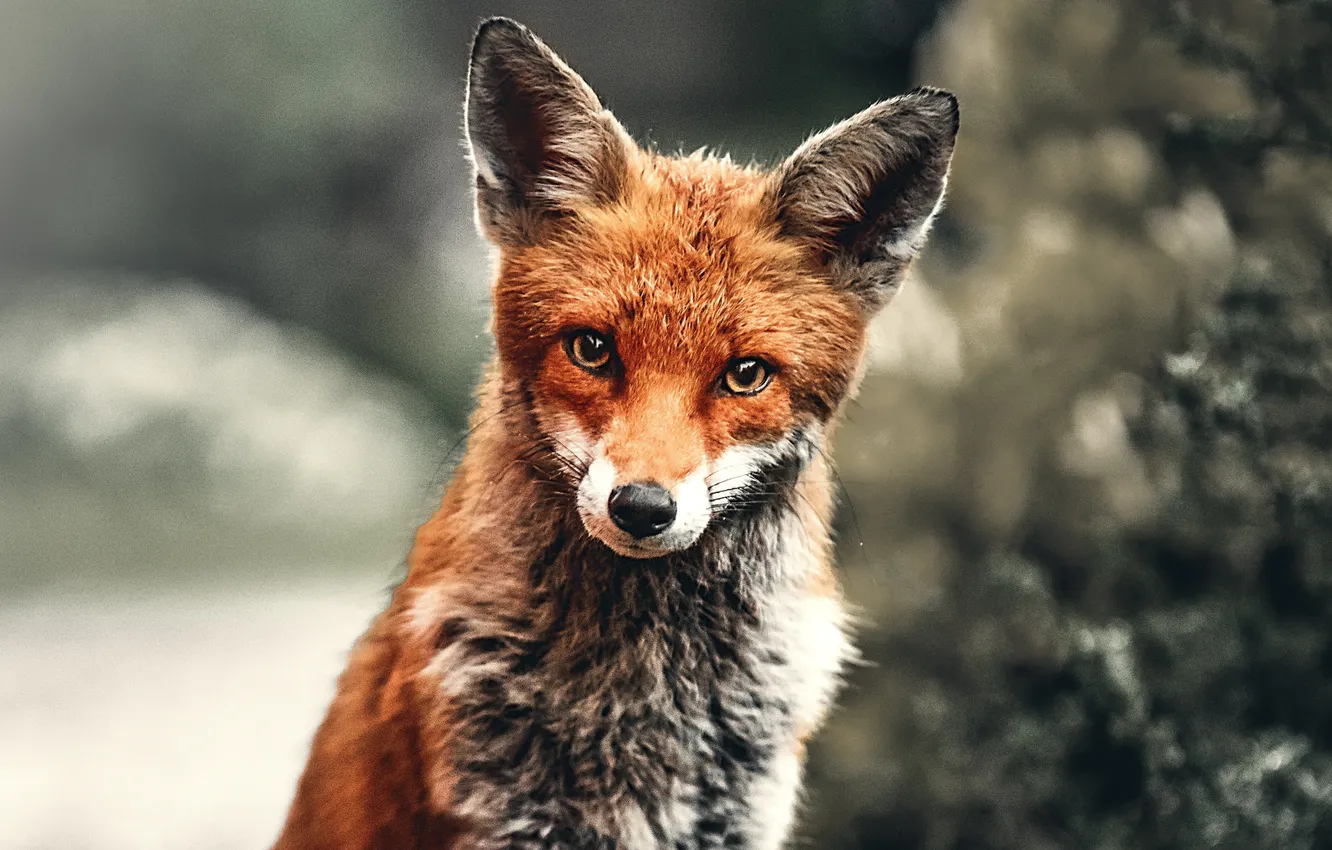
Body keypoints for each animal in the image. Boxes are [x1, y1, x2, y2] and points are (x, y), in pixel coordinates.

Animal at [274, 16, 957, 850]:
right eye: (592, 349)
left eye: (746, 374)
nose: (641, 508)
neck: (646, 700)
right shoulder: (503, 816)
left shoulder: (740, 815)